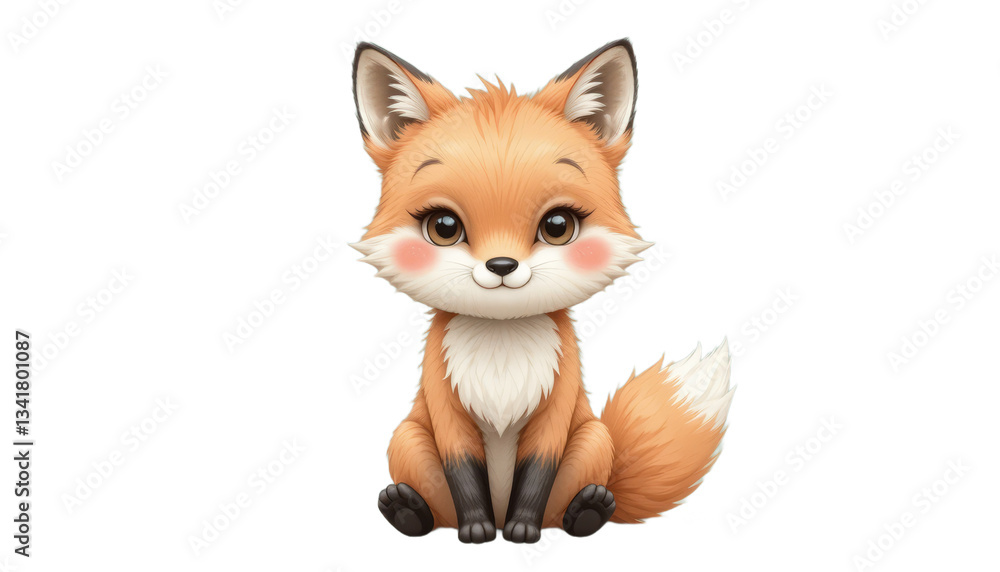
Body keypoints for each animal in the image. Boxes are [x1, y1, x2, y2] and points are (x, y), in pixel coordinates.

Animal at [351, 38, 734, 544]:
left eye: (557, 226)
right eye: (443, 227)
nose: (501, 266)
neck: (501, 349)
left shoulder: (557, 406)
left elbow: (536, 474)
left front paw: (520, 530)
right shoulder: (446, 408)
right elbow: (463, 475)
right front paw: (477, 529)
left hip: (592, 438)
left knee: (573, 504)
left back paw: (587, 511)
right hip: (408, 438)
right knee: (435, 505)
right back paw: (408, 512)